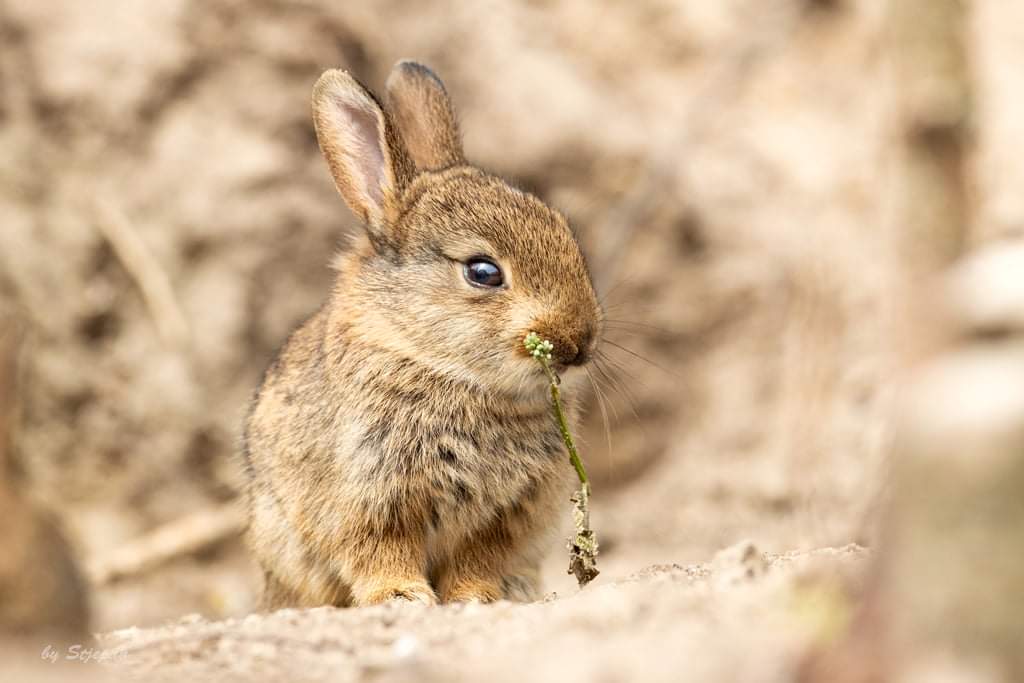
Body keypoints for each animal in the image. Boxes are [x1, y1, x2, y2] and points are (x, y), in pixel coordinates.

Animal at [242, 61, 598, 610]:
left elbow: (478, 557)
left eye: (566, 234)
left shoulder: (505, 513)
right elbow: (380, 550)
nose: (580, 343)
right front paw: (400, 596)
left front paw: (476, 598)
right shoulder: (371, 494)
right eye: (482, 272)